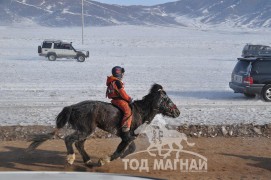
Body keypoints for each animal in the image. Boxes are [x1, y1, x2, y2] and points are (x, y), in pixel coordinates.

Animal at [27, 83, 181, 167]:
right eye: (168, 100)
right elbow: (119, 151)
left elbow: (130, 149)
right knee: (69, 139)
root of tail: (73, 107)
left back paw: (88, 160)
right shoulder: (127, 137)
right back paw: (71, 158)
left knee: (79, 144)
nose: (177, 112)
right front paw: (104, 160)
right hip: (86, 130)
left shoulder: (128, 138)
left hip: (86, 130)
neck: (140, 112)